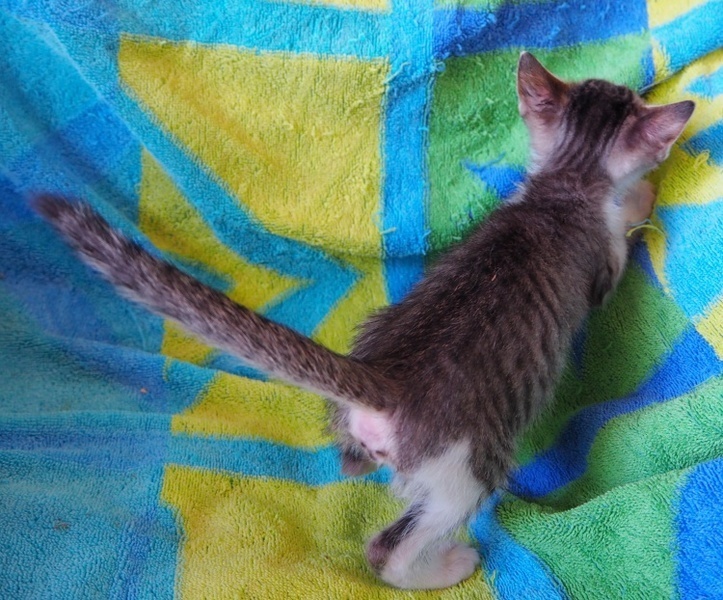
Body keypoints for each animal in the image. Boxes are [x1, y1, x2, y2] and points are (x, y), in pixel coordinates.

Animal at [36, 52, 693, 590]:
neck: (562, 187)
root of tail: (385, 376)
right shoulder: (598, 264)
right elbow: (616, 241)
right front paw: (643, 196)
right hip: (467, 468)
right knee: (391, 547)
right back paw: (444, 566)